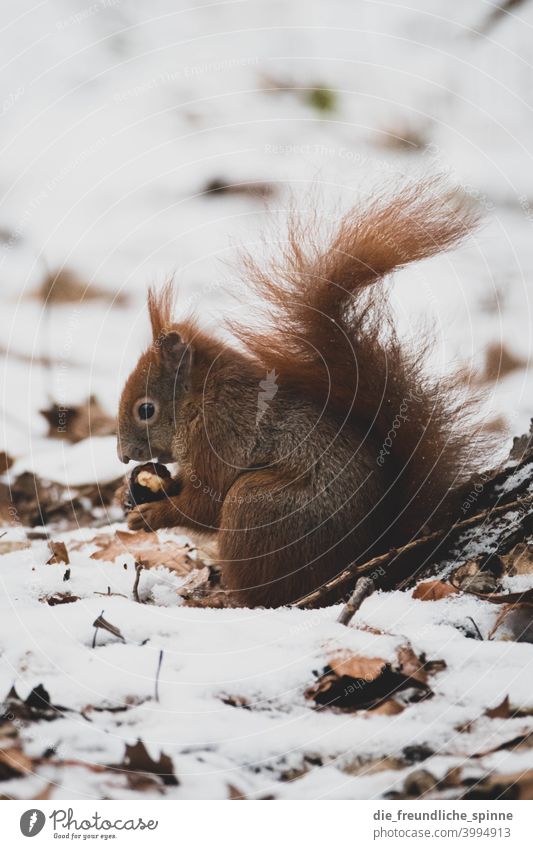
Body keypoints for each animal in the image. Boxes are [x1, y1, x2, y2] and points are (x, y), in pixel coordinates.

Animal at [115, 179, 486, 608]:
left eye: (145, 410)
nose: (122, 455)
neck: (200, 401)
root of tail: (364, 558)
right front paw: (133, 493)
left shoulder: (219, 438)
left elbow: (204, 505)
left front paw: (150, 516)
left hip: (256, 506)